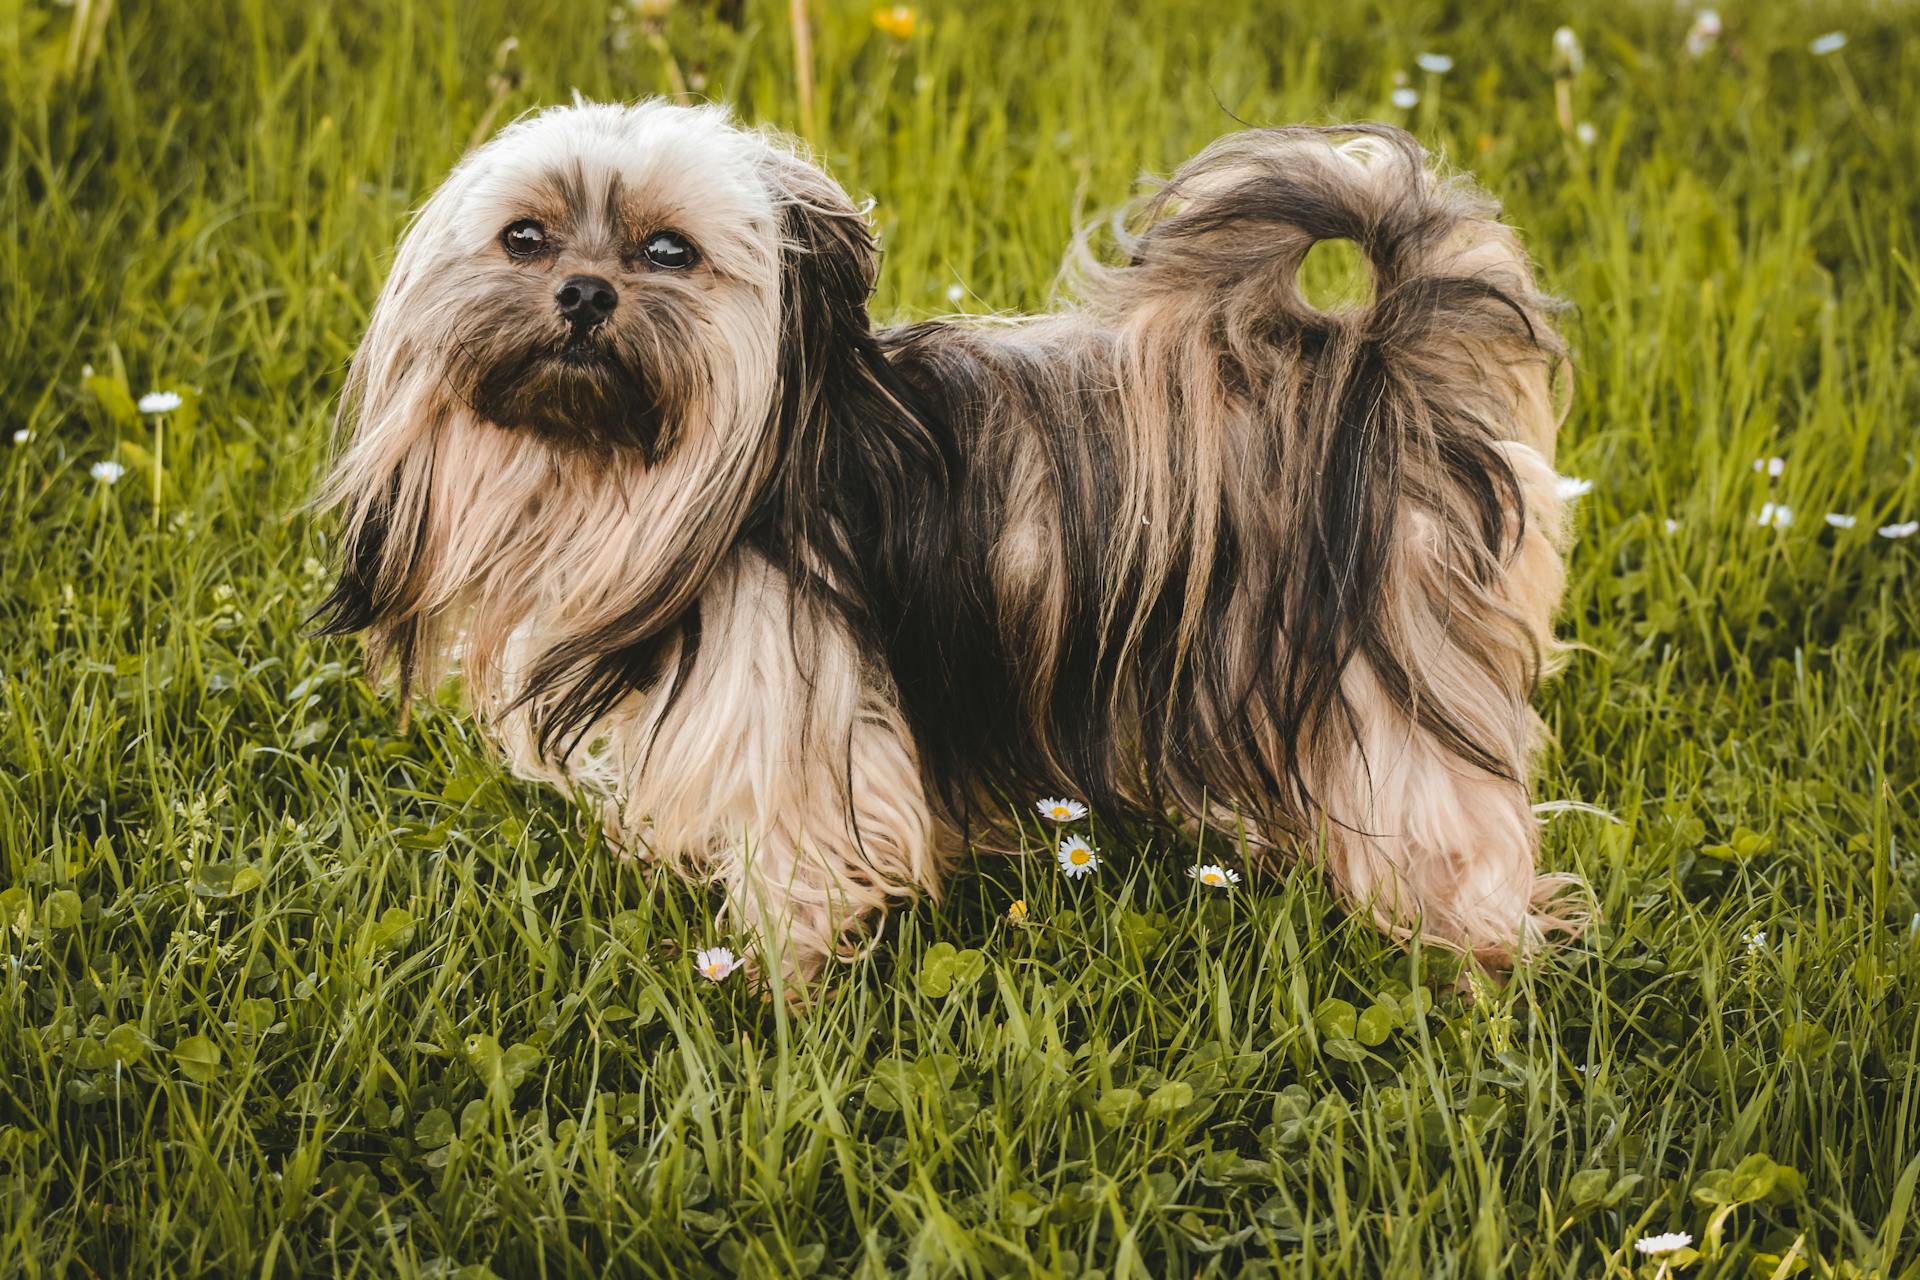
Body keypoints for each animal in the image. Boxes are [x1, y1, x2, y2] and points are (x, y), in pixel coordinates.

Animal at [318, 100, 1589, 982]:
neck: (648, 479)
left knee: (1457, 828)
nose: (582, 293)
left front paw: (781, 996)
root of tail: (1379, 361)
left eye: (669, 252)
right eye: (524, 239)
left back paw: (1475, 967)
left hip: (1389, 674)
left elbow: (800, 875)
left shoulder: (808, 736)